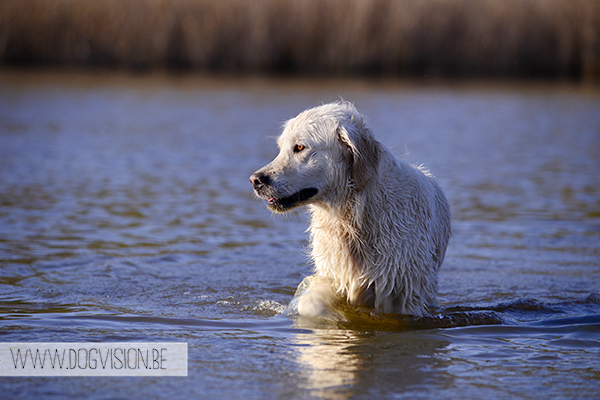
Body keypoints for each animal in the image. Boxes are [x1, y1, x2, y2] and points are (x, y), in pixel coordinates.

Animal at [248, 102, 450, 318]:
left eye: (300, 147)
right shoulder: (333, 275)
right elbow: (310, 302)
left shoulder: (400, 291)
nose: (255, 180)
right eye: (280, 148)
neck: (353, 213)